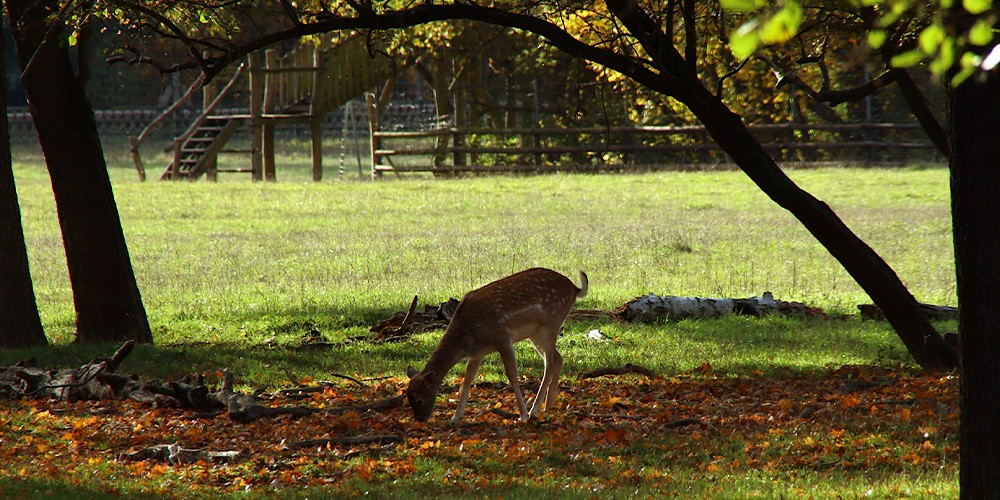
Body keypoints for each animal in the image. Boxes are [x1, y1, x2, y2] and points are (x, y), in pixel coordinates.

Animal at [408, 268, 584, 424]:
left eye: (419, 400)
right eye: (408, 398)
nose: (420, 419)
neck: (466, 338)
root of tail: (575, 288)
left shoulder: (502, 337)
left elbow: (512, 374)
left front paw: (522, 415)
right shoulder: (477, 353)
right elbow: (467, 379)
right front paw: (455, 418)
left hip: (551, 324)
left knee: (551, 362)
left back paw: (534, 411)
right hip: (536, 333)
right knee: (557, 359)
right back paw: (549, 406)